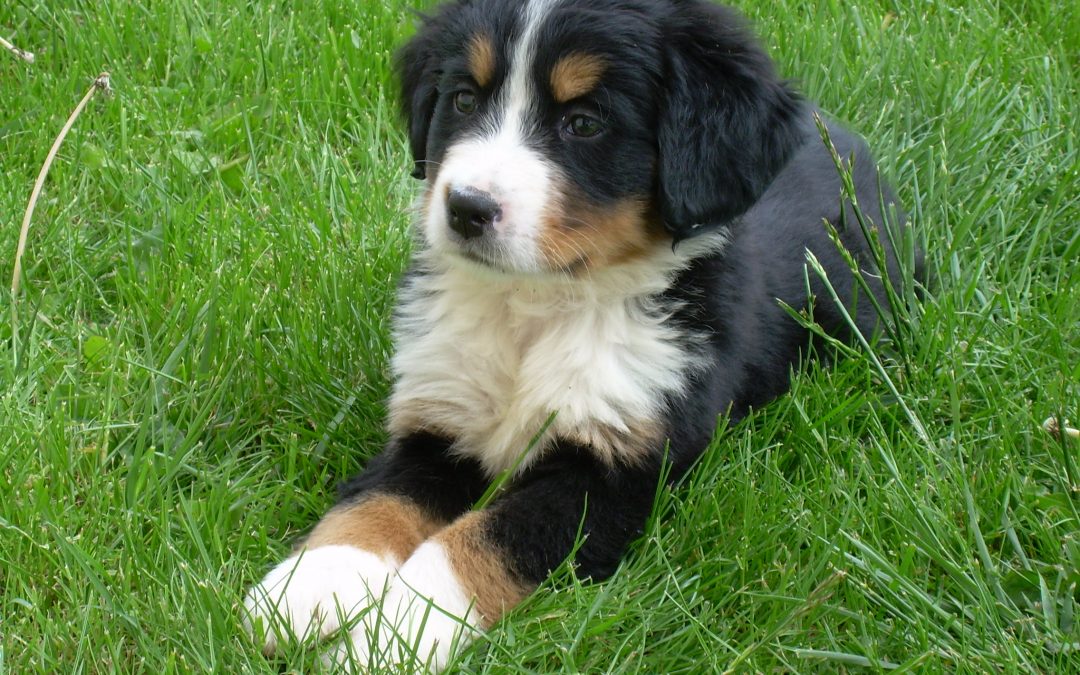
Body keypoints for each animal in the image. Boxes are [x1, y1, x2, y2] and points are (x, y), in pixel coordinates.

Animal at [247, 0, 920, 665]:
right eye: (463, 100)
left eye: (584, 123)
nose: (466, 207)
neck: (534, 308)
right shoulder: (438, 420)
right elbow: (376, 502)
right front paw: (306, 588)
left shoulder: (616, 470)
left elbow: (484, 540)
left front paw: (394, 633)